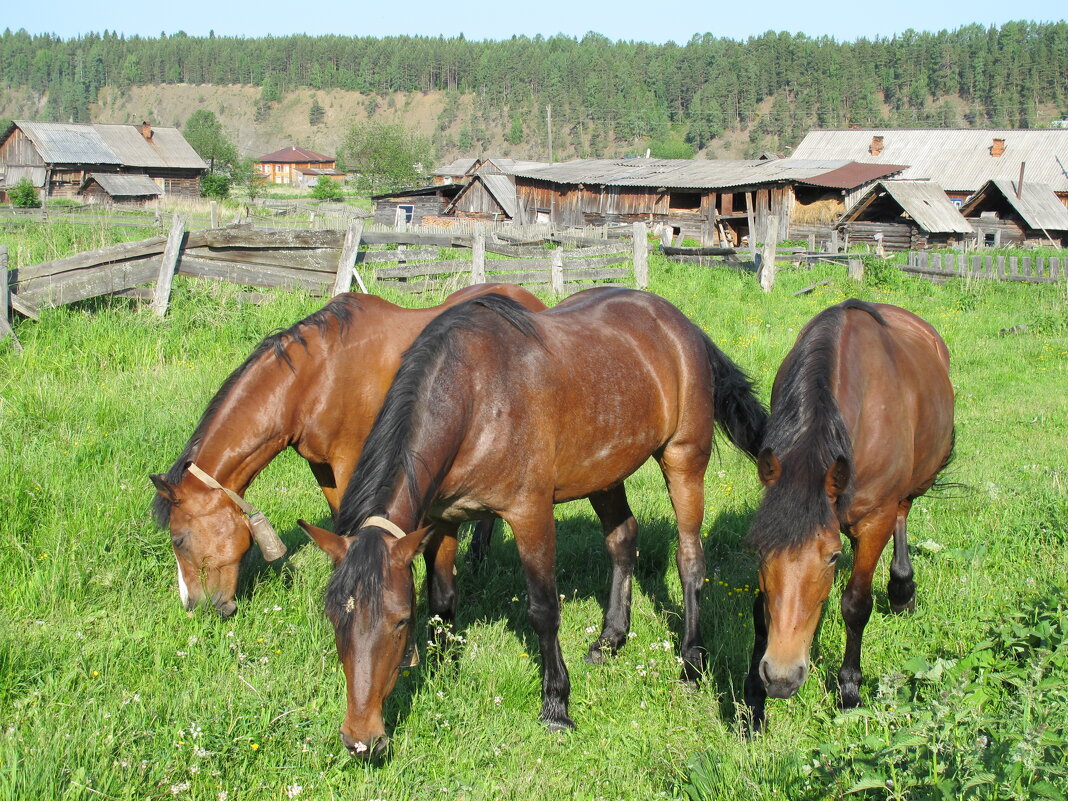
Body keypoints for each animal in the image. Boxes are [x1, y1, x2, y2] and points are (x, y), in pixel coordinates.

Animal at [150, 284, 546, 619]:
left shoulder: (350, 461)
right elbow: (337, 513)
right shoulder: (321, 465)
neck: (317, 376)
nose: (194, 607)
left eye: (179, 539)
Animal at [301, 286, 768, 760]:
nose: (361, 740)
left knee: (690, 559)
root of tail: (682, 325)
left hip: (684, 459)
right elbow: (443, 599)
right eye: (334, 618)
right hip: (604, 472)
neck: (474, 397)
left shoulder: (531, 514)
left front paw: (556, 706)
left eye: (398, 621)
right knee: (622, 540)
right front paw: (443, 669)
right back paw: (610, 639)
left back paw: (691, 663)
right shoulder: (440, 520)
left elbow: (544, 610)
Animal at [739, 299, 956, 730]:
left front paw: (850, 691)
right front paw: (754, 703)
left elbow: (856, 605)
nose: (782, 677)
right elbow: (760, 609)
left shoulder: (874, 521)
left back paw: (902, 590)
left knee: (904, 513)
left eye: (832, 557)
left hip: (903, 492)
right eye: (758, 551)